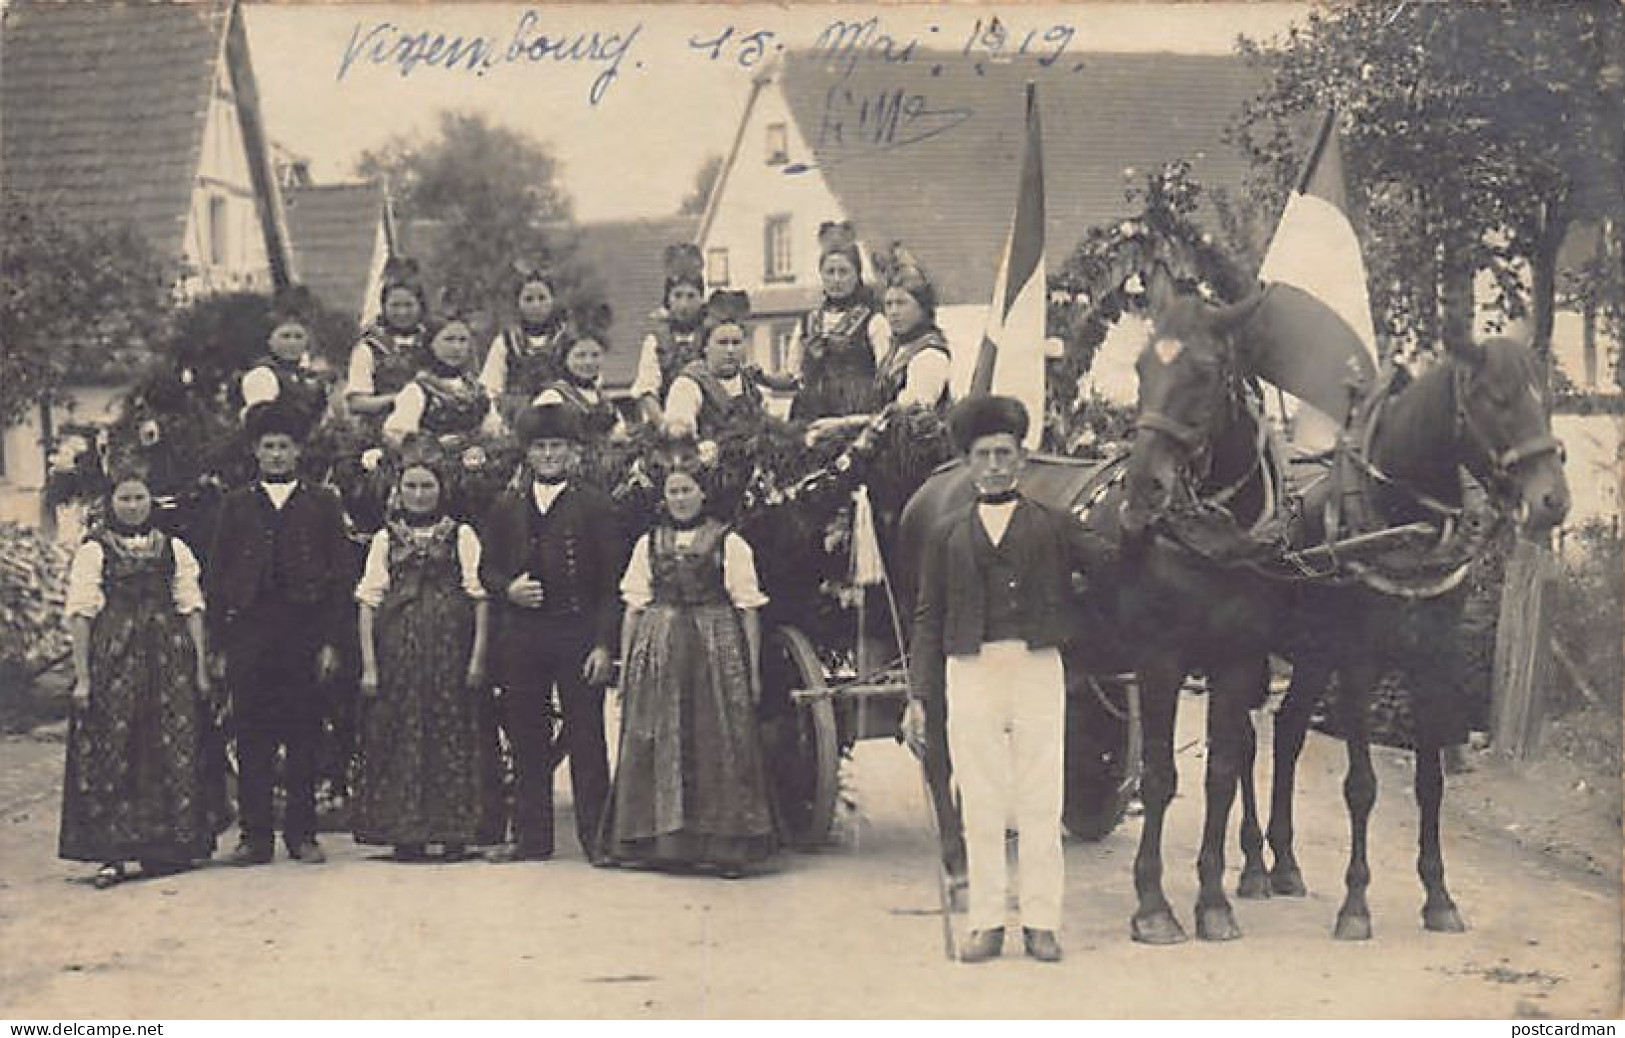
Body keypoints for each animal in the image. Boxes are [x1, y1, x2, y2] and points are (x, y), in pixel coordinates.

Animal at [1124, 284, 1566, 942]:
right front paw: (1356, 905)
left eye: (1547, 398)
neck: (1405, 515)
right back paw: (1253, 866)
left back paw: (1282, 863)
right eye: (1497, 397)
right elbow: (1361, 785)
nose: (1553, 499)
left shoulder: (1434, 659)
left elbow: (1430, 783)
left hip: (1310, 655)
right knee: (1252, 742)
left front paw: (1439, 896)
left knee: (1284, 731)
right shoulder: (1358, 662)